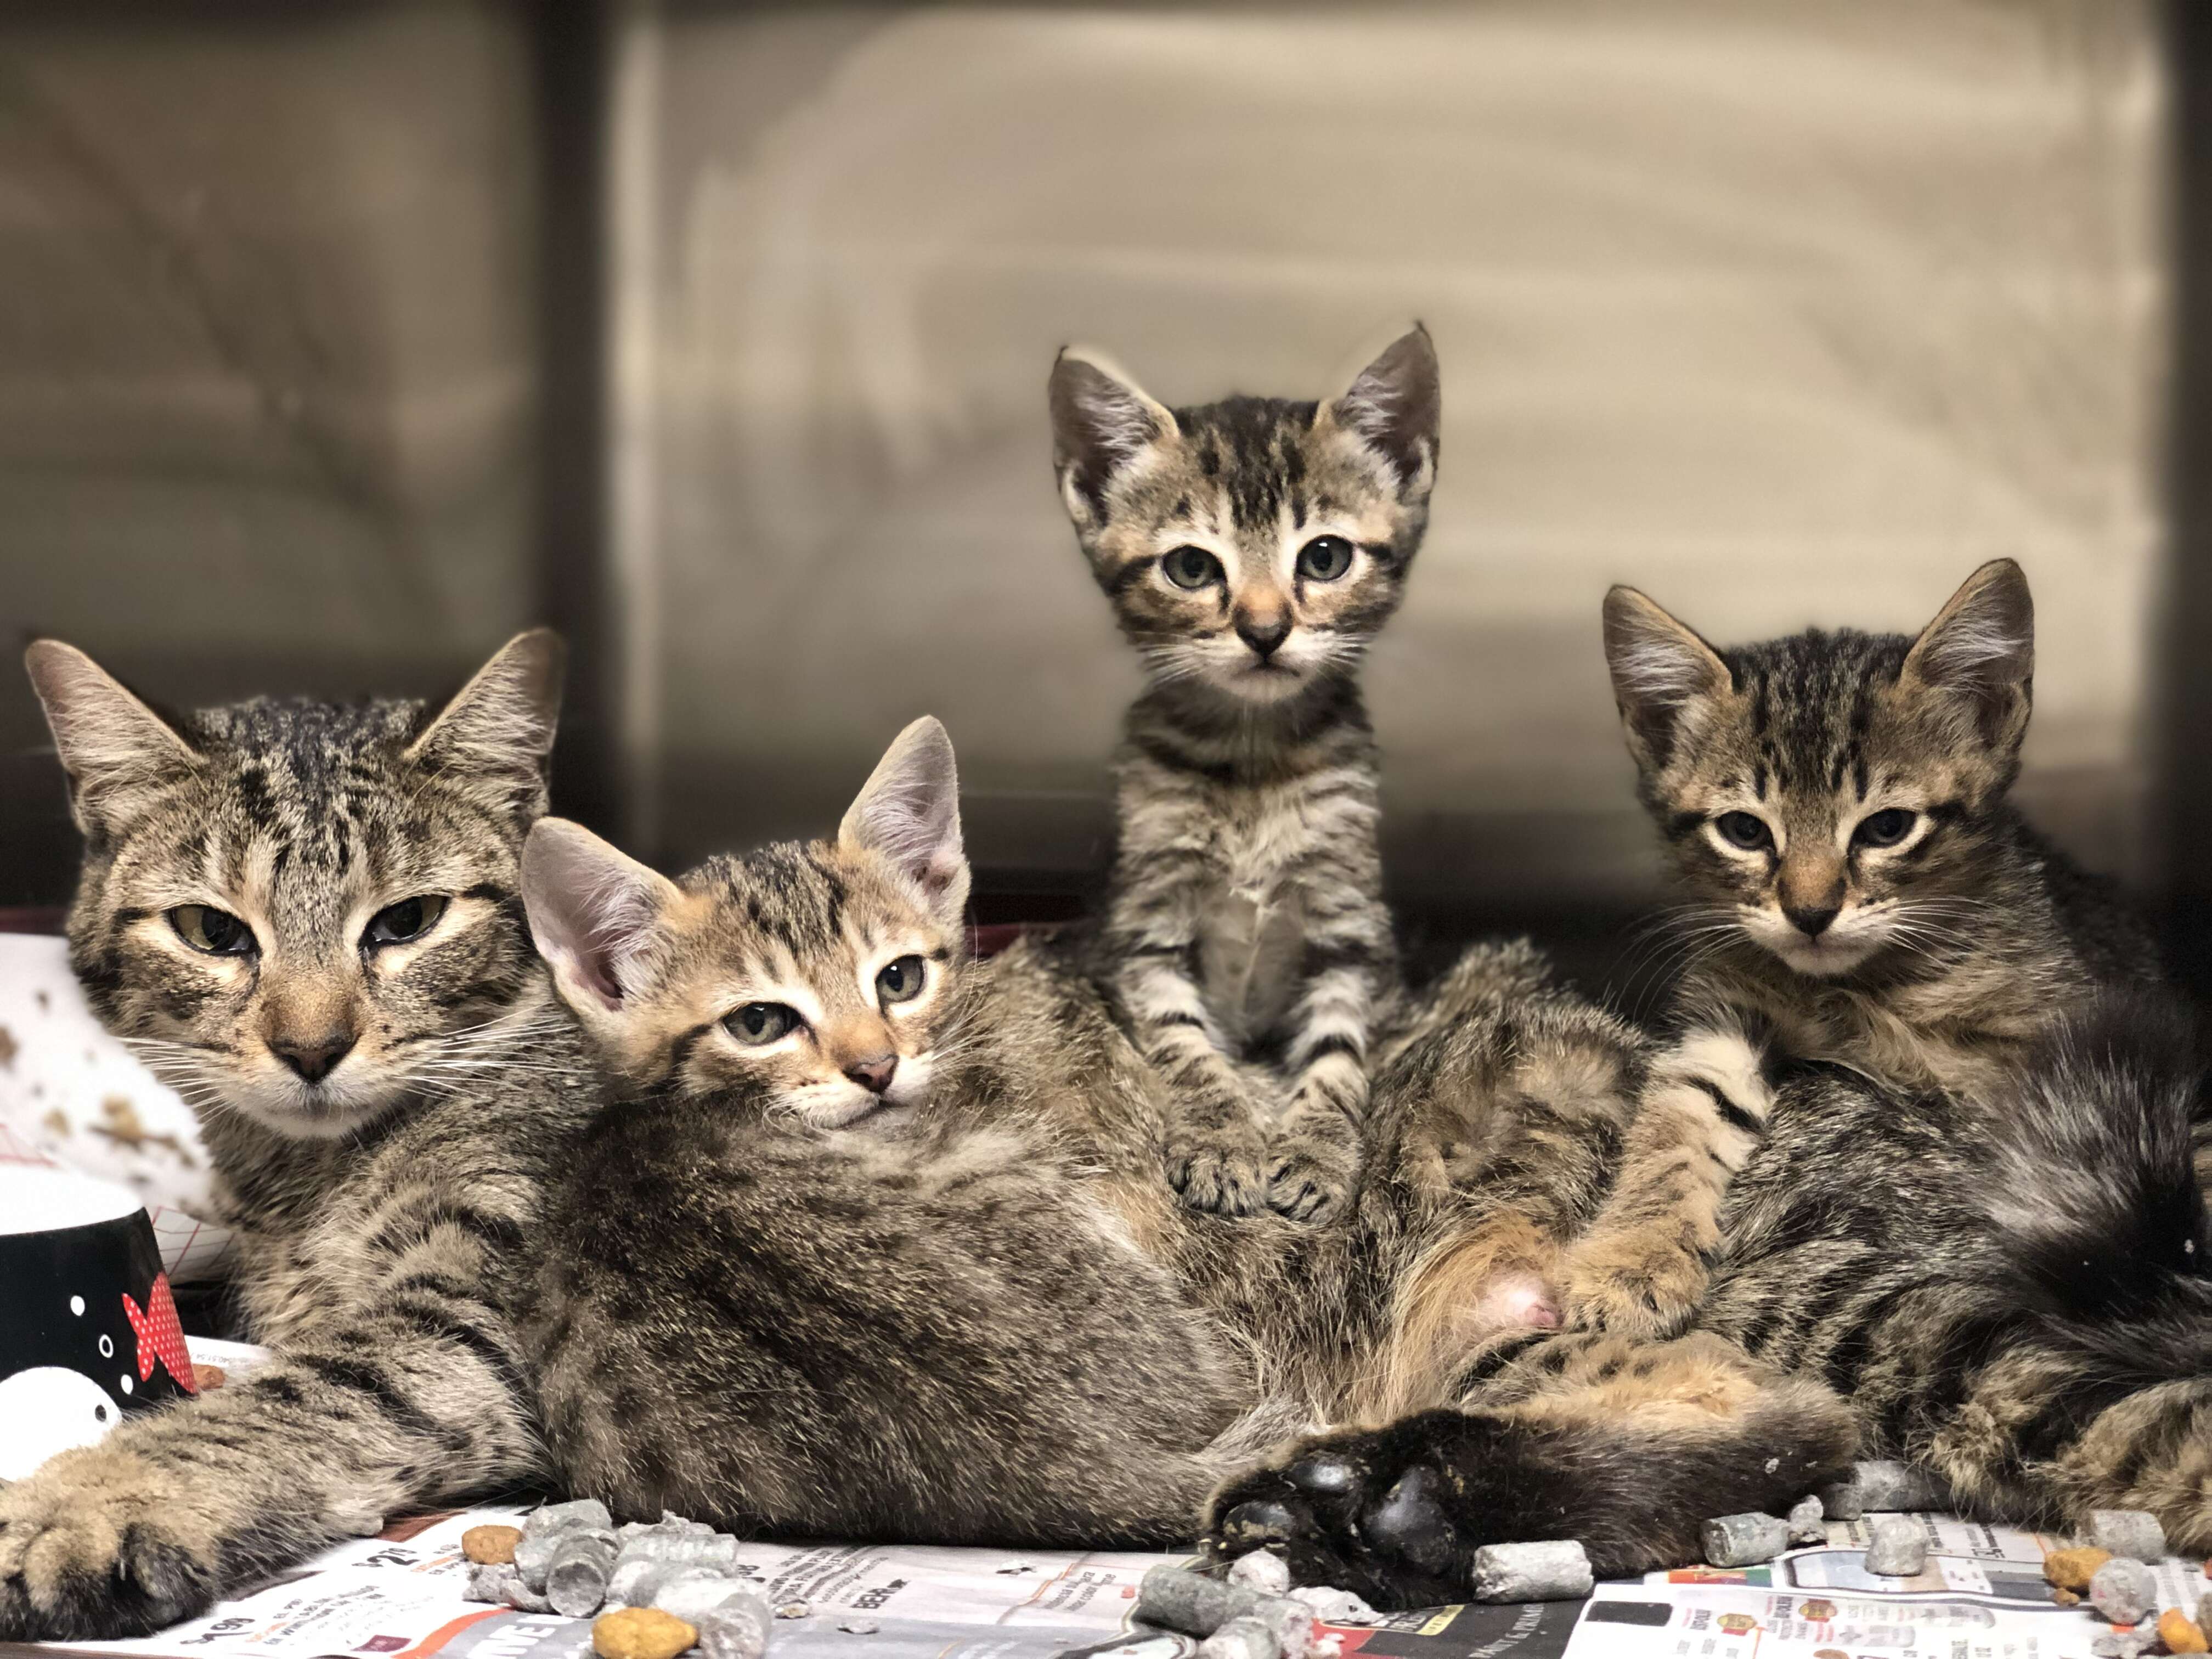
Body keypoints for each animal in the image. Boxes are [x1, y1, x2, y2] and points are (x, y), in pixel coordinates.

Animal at [1044, 331, 1442, 1229]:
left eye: (1324, 557)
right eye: (1192, 569)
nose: (1264, 631)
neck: (1255, 762)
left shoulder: (1351, 930)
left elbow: (1337, 1054)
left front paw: (1318, 1152)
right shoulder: (1141, 932)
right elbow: (1185, 1045)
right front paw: (1222, 1139)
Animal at [1557, 560, 2159, 1336]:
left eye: (1887, 827)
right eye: (1745, 832)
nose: (1811, 913)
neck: (1854, 987)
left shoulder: (2035, 1052)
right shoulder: (1724, 1018)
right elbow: (1679, 1116)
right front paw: (1632, 1254)